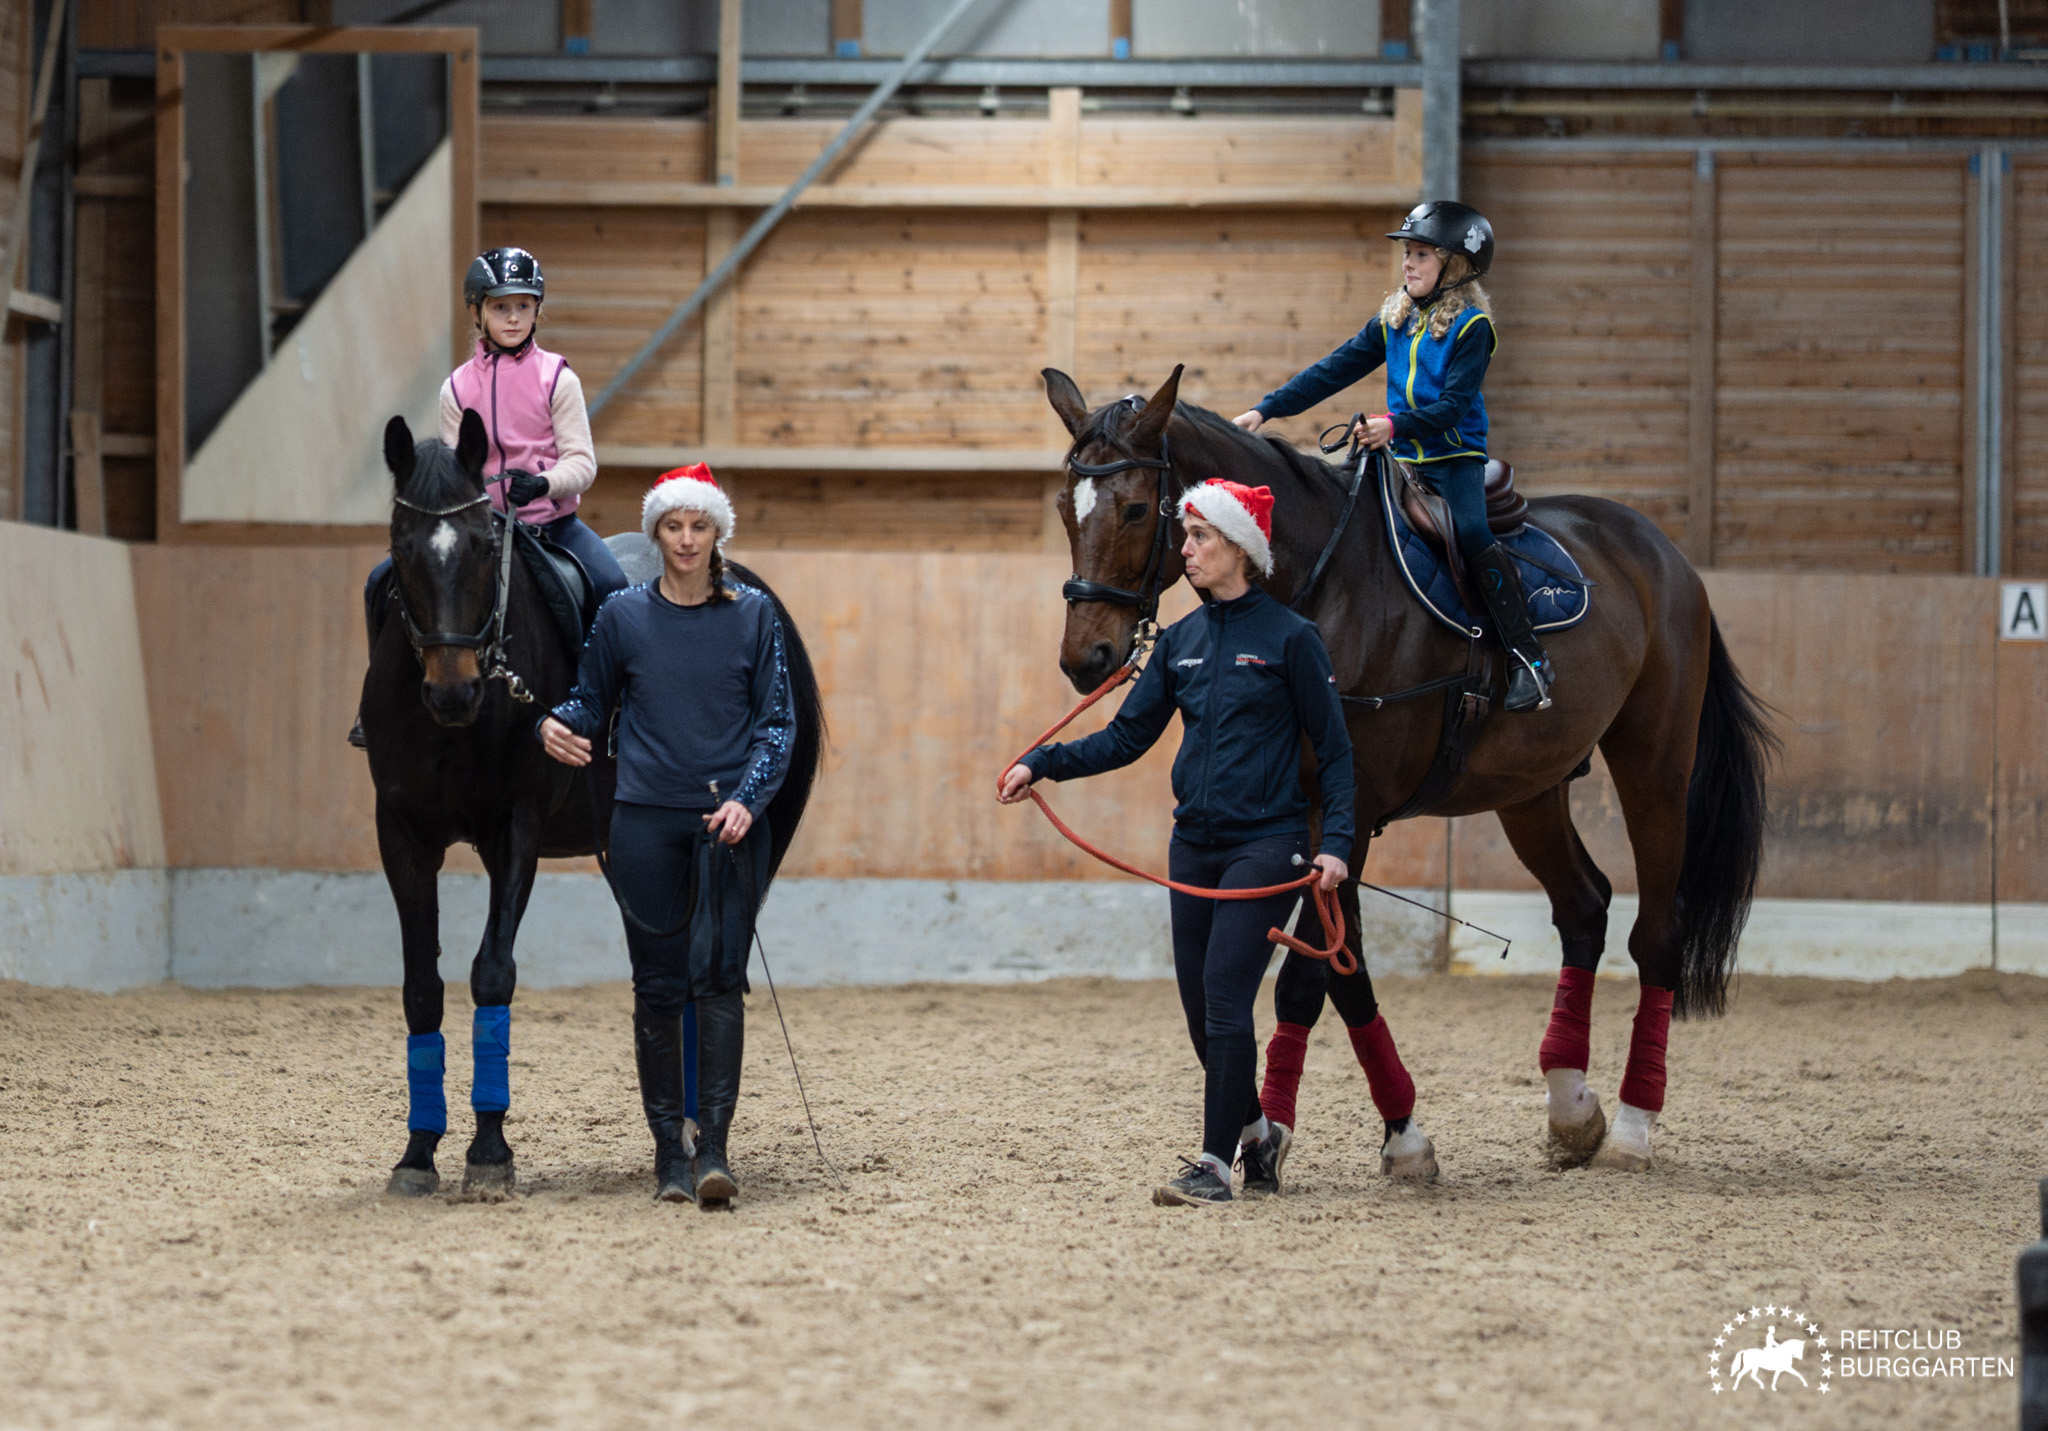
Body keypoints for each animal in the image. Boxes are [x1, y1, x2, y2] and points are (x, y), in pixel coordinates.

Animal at [1040, 365, 1774, 1174]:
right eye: (1065, 510)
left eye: (1138, 507)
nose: (1085, 658)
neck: (1319, 588)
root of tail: (1664, 554)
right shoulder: (1317, 820)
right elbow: (1345, 970)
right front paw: (1399, 1133)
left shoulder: (1349, 812)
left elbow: (1306, 978)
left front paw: (1277, 1138)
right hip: (1530, 789)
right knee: (1584, 905)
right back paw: (1572, 1108)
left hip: (1655, 767)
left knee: (1657, 932)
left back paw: (1633, 1128)